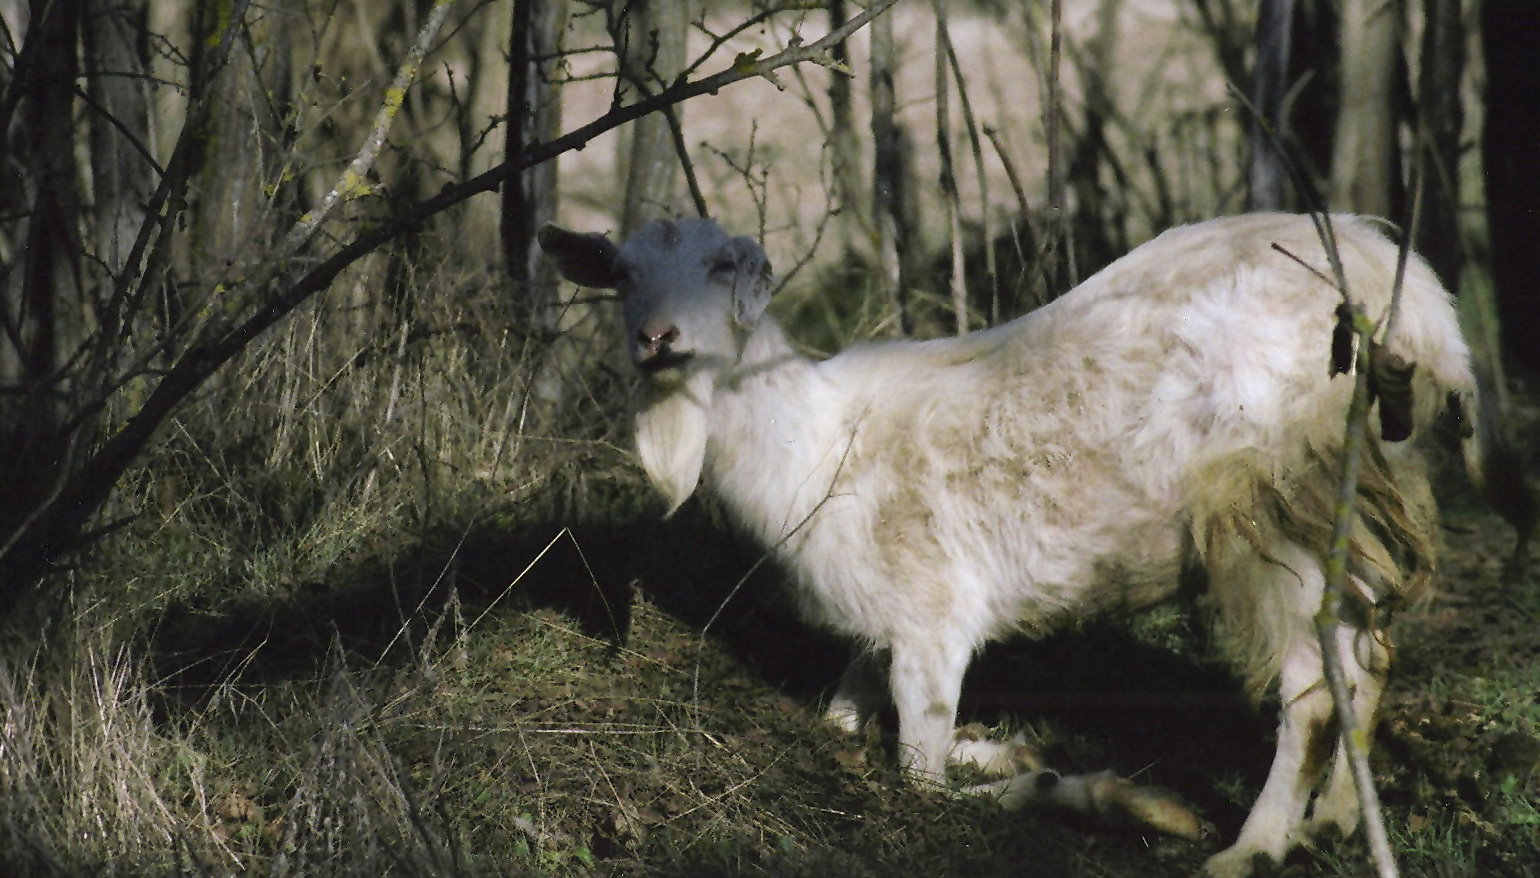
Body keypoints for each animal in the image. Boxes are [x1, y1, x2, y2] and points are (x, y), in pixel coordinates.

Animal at [542, 214, 1527, 874]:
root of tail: (1427, 313)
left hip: (1275, 502)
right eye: (621, 272)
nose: (656, 339)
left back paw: (1249, 847)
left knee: (1316, 687)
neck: (818, 446)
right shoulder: (877, 627)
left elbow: (922, 779)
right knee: (1367, 655)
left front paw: (1111, 795)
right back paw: (1334, 822)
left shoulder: (933, 624)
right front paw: (1010, 750)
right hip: (1352, 499)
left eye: (722, 264)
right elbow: (844, 725)